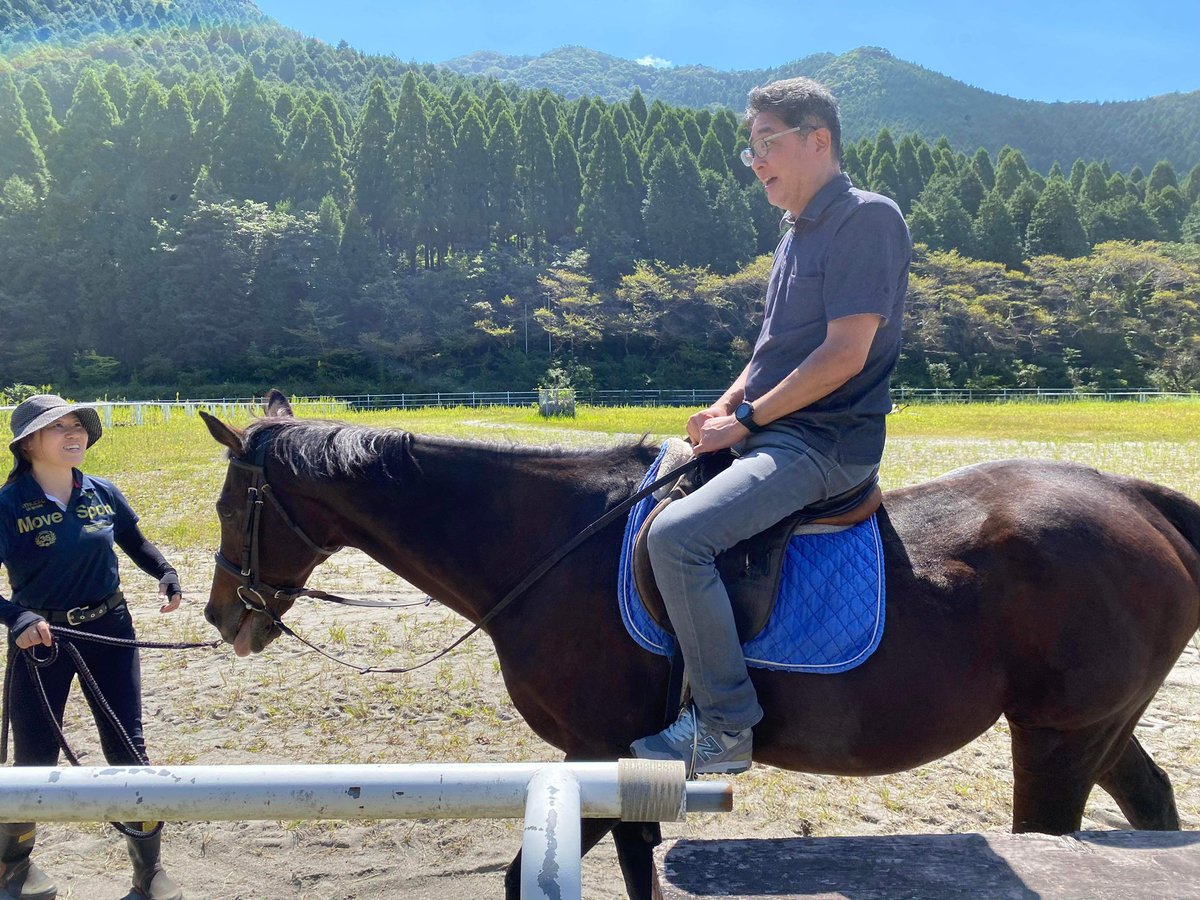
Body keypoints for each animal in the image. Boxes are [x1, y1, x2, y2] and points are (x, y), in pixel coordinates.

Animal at [200, 393, 1200, 899]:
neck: (551, 543)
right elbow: (633, 867)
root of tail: (1133, 495)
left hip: (1060, 738)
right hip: (1097, 729)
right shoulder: (617, 766)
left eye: (228, 504)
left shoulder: (596, 747)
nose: (220, 617)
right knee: (1152, 802)